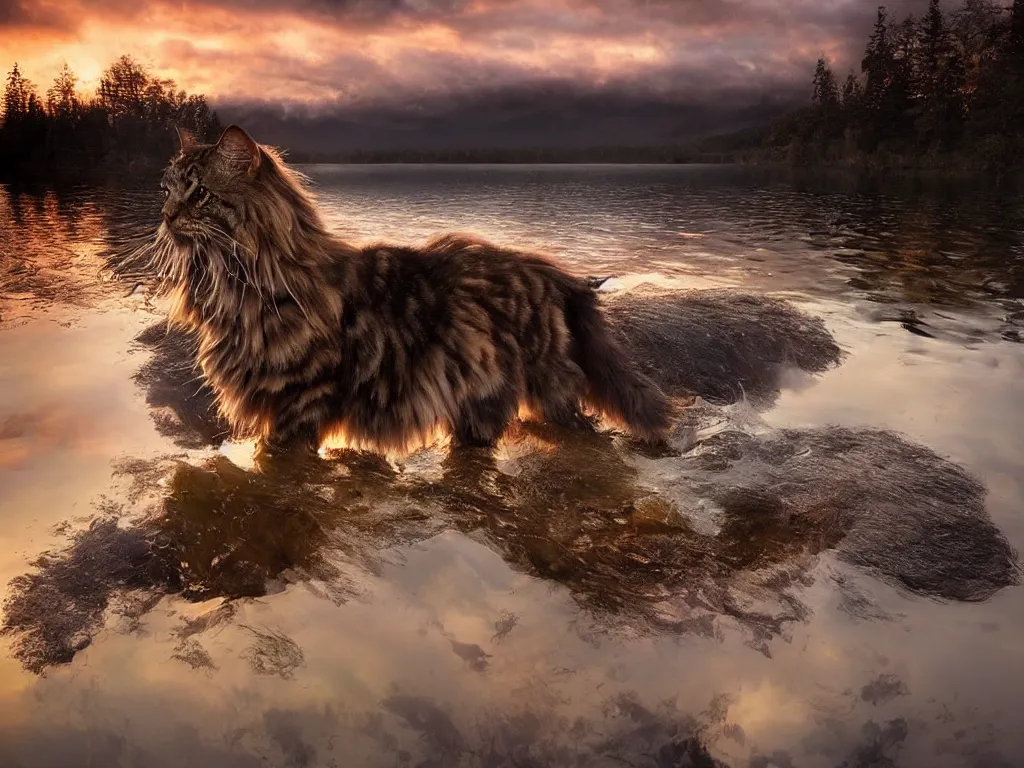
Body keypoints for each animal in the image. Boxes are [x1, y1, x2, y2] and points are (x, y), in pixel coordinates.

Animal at [151, 123, 671, 454]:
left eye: (200, 194)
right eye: (167, 190)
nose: (167, 215)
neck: (240, 284)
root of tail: (554, 272)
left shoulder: (300, 403)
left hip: (548, 390)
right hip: (480, 404)